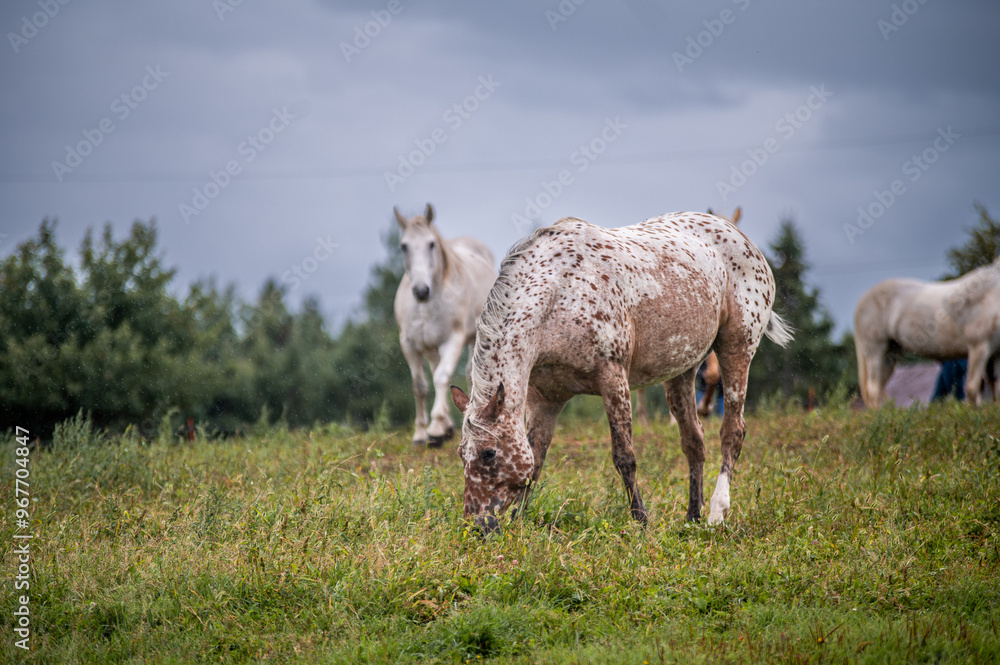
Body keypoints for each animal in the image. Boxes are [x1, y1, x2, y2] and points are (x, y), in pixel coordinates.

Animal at [393, 204, 496, 447]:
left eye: (431, 244)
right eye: (404, 246)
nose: (421, 291)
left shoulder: (453, 339)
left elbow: (441, 377)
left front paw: (437, 428)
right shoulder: (409, 344)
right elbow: (420, 385)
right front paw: (421, 433)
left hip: (474, 338)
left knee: (468, 373)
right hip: (431, 346)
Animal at [854, 255, 1000, 407]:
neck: (991, 296)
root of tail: (861, 302)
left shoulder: (995, 354)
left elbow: (995, 387)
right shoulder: (979, 348)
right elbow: (973, 388)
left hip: (890, 354)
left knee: (879, 387)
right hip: (875, 351)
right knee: (873, 390)